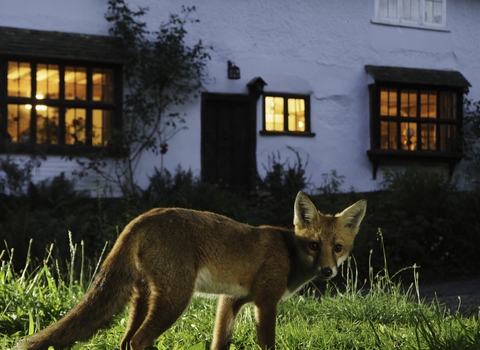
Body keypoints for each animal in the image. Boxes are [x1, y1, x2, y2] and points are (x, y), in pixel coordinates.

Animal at [16, 191, 366, 350]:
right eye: (314, 246)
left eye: (337, 248)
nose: (327, 272)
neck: (289, 253)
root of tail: (143, 216)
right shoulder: (266, 302)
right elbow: (268, 344)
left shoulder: (231, 301)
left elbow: (219, 343)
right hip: (175, 299)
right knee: (139, 341)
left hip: (142, 299)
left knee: (126, 342)